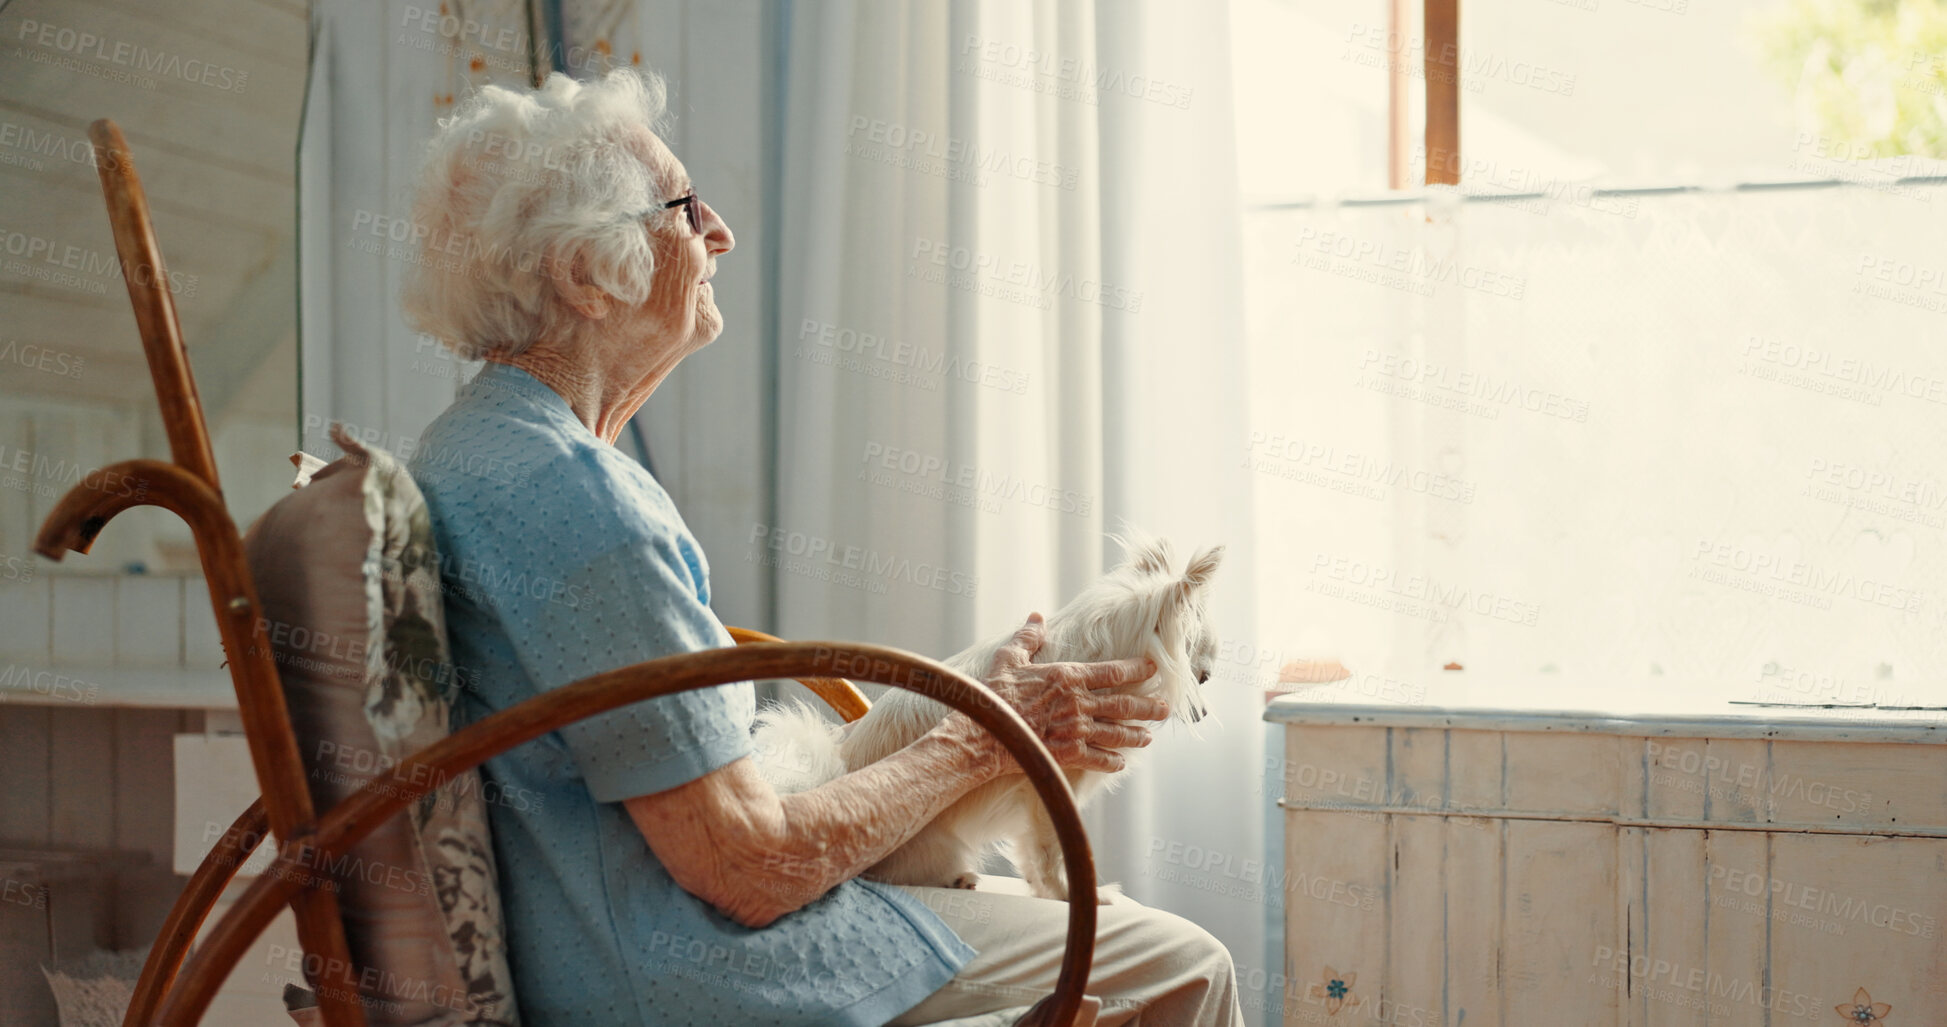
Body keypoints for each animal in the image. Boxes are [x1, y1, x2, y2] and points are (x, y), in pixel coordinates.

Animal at [751, 533, 1222, 904]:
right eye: (1202, 672)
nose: (1203, 712)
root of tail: (828, 778)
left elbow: (1033, 855)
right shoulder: (1051, 791)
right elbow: (1050, 852)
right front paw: (1069, 895)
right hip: (936, 845)